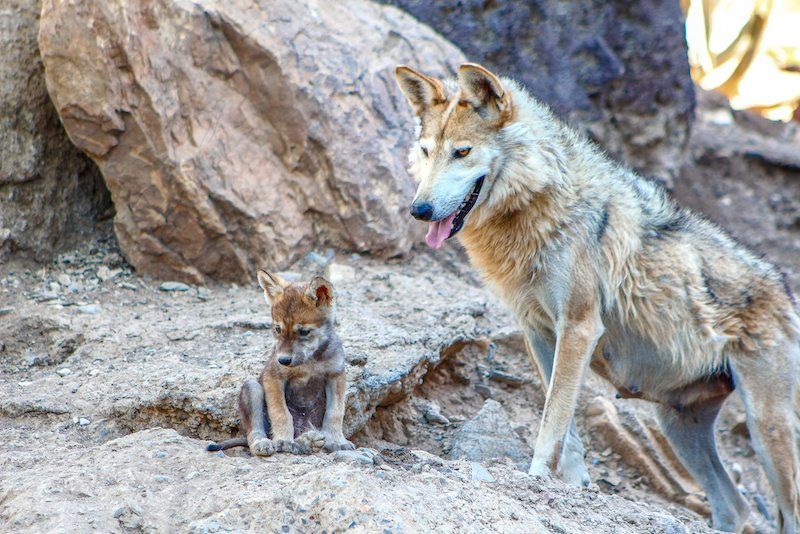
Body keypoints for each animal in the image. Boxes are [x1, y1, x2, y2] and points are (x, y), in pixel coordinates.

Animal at [206, 274, 354, 458]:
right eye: (277, 329)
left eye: (304, 331)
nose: (283, 360)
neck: (309, 362)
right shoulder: (274, 378)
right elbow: (281, 412)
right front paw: (283, 440)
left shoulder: (336, 376)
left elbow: (335, 412)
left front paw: (337, 441)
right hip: (252, 388)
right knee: (254, 432)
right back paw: (265, 443)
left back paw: (308, 441)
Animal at [396, 60, 800, 532]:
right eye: (427, 152)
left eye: (461, 152)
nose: (419, 210)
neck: (540, 204)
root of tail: (785, 290)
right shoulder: (538, 332)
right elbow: (565, 428)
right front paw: (570, 487)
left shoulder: (579, 327)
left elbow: (553, 420)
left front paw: (537, 477)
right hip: (677, 427)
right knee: (734, 506)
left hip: (765, 428)